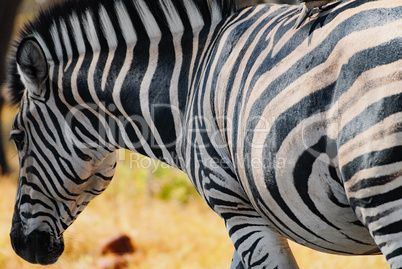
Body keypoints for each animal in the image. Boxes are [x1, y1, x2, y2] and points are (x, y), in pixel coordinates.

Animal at [6, 0, 402, 266]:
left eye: (18, 138)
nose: (18, 245)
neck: (186, 86)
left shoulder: (235, 205)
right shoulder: (251, 214)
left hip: (382, 196)